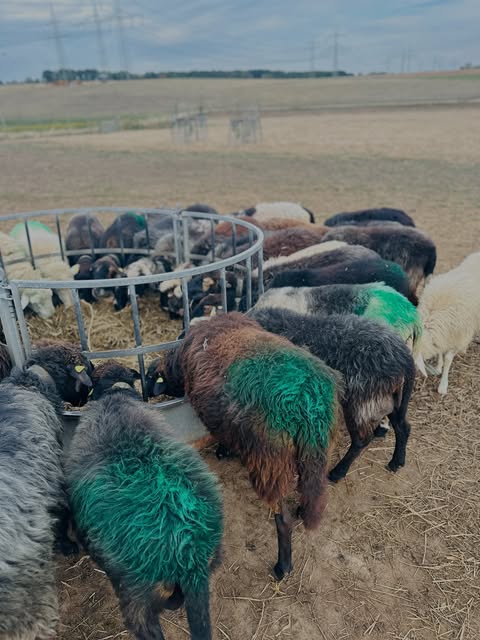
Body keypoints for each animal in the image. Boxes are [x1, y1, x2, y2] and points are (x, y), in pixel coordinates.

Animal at [0, 341, 92, 640]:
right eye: (88, 369)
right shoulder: (53, 480)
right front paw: (68, 545)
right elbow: (61, 516)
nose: (83, 402)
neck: (31, 384)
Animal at [146, 312, 341, 580]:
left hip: (272, 463)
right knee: (312, 488)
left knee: (283, 520)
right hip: (318, 453)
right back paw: (304, 510)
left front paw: (223, 451)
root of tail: (308, 403)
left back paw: (283, 567)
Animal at [250, 308, 415, 482]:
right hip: (391, 399)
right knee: (402, 426)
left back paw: (338, 472)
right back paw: (396, 461)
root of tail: (404, 358)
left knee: (361, 440)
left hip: (360, 401)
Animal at [415, 251, 480, 395]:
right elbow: (440, 351)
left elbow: (448, 358)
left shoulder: (457, 335)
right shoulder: (444, 334)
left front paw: (443, 385)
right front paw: (438, 367)